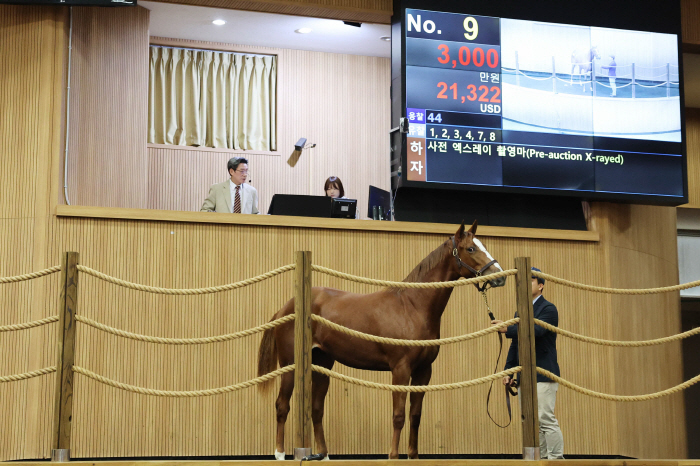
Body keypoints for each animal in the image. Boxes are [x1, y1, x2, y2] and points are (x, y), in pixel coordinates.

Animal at [258, 221, 504, 458]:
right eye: (471, 249)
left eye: (482, 245)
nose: (499, 275)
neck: (412, 306)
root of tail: (287, 307)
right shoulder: (401, 370)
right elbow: (398, 416)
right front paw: (393, 456)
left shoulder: (424, 371)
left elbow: (415, 416)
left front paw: (413, 456)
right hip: (290, 365)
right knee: (282, 405)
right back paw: (279, 454)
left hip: (322, 364)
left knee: (317, 410)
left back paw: (323, 456)